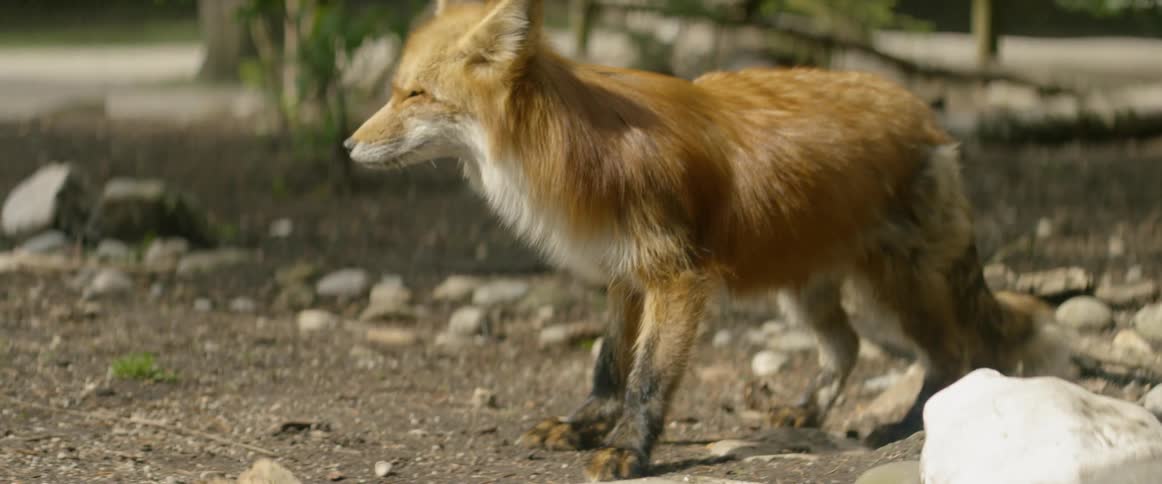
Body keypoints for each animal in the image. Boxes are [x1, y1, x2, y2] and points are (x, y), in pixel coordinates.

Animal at [343, 0, 1069, 480]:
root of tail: (929, 117)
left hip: (899, 291)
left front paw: (629, 450)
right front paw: (582, 427)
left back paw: (905, 425)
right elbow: (608, 366)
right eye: (394, 92)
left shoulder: (678, 277)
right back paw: (804, 413)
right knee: (848, 345)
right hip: (805, 289)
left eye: (416, 95)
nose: (347, 146)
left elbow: (647, 379)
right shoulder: (624, 275)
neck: (570, 148)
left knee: (953, 354)